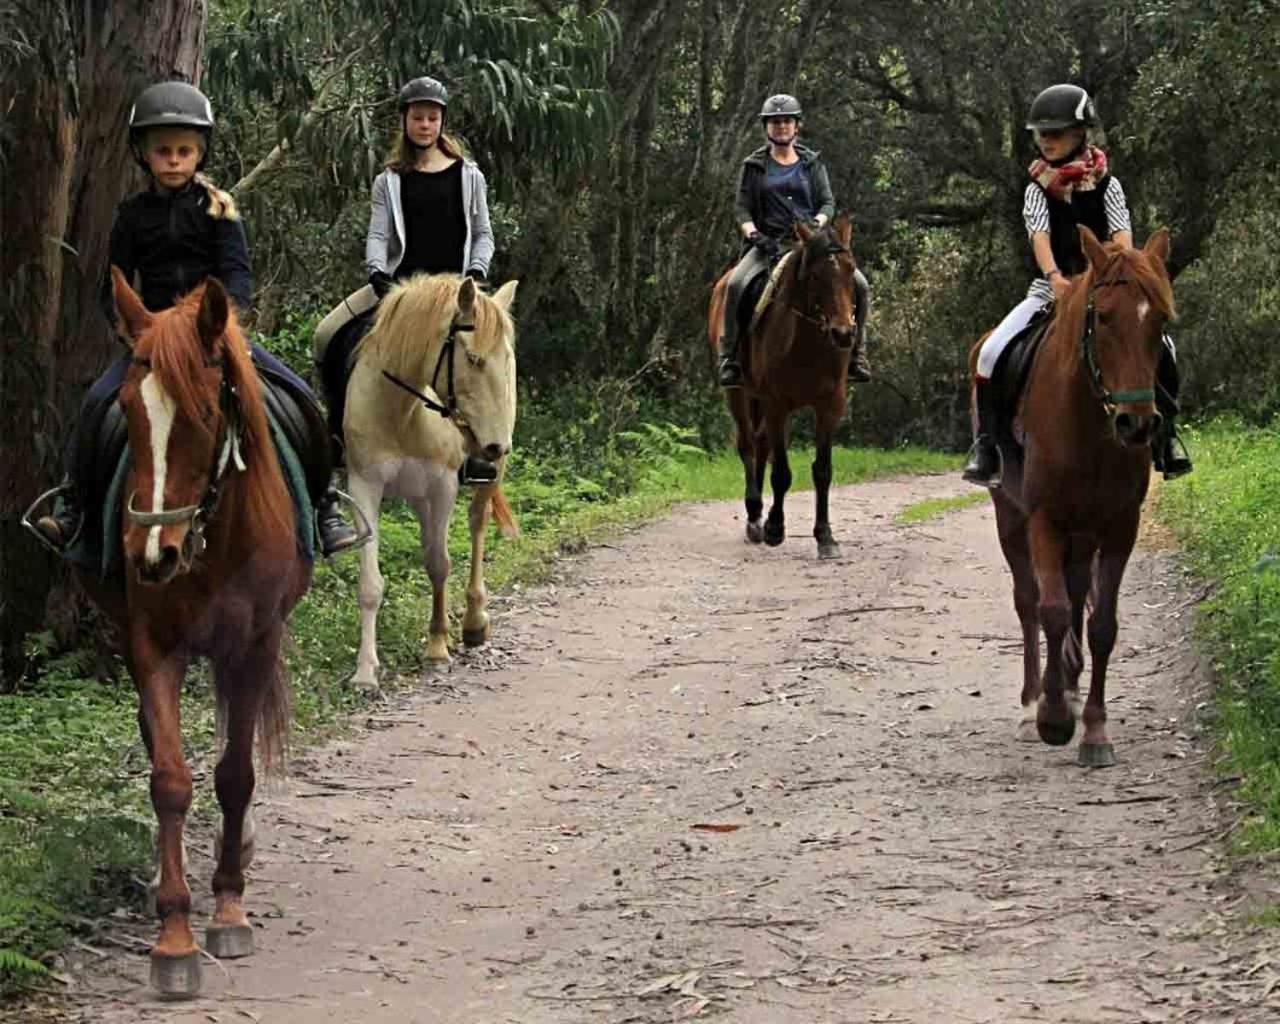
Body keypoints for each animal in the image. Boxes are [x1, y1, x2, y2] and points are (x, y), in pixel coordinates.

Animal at [83, 270, 312, 993]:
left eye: (206, 413)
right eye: (129, 409)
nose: (151, 554)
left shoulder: (257, 643)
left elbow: (235, 774)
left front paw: (230, 908)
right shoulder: (155, 646)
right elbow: (171, 780)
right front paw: (175, 936)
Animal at [345, 276, 519, 686]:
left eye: (504, 359)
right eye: (472, 358)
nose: (494, 445)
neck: (401, 412)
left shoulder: (441, 486)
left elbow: (439, 564)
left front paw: (438, 645)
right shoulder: (364, 486)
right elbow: (370, 585)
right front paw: (365, 672)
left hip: (483, 475)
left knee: (476, 523)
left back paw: (474, 622)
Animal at [711, 211, 860, 555]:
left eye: (850, 270)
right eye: (816, 276)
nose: (843, 334)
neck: (807, 341)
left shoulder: (830, 406)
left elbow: (822, 470)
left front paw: (825, 537)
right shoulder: (777, 404)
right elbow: (780, 473)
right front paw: (775, 529)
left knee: (761, 443)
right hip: (739, 393)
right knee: (748, 444)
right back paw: (755, 517)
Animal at [972, 226, 1172, 768]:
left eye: (1160, 320)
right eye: (1102, 318)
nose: (1136, 424)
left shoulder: (1120, 525)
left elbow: (1101, 622)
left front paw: (1095, 730)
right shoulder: (1044, 520)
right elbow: (1052, 610)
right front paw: (1053, 720)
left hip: (1084, 533)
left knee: (1078, 591)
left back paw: (1072, 687)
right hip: (1010, 517)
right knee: (1029, 602)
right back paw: (1032, 704)